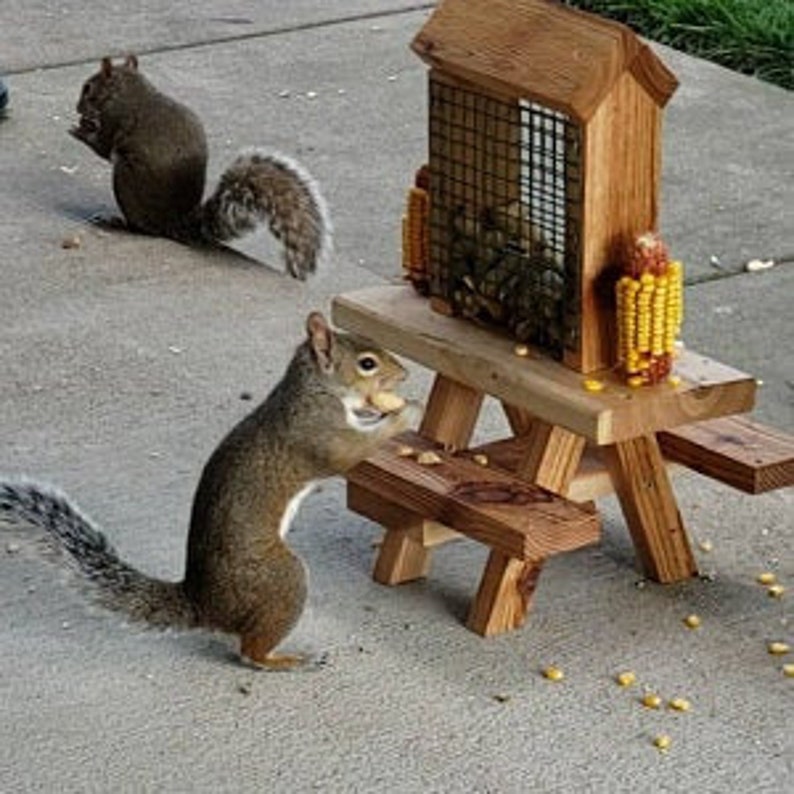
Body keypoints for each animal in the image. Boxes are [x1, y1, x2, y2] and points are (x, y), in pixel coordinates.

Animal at [0, 312, 420, 670]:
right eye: (367, 363)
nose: (405, 373)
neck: (314, 388)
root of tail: (204, 605)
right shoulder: (320, 434)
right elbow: (351, 452)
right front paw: (406, 412)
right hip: (282, 579)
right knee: (251, 653)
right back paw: (289, 660)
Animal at [70, 54, 332, 280]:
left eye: (88, 88)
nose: (77, 107)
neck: (128, 88)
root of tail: (175, 223)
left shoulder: (115, 119)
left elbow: (102, 147)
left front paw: (80, 130)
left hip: (125, 180)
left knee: (142, 228)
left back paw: (116, 223)